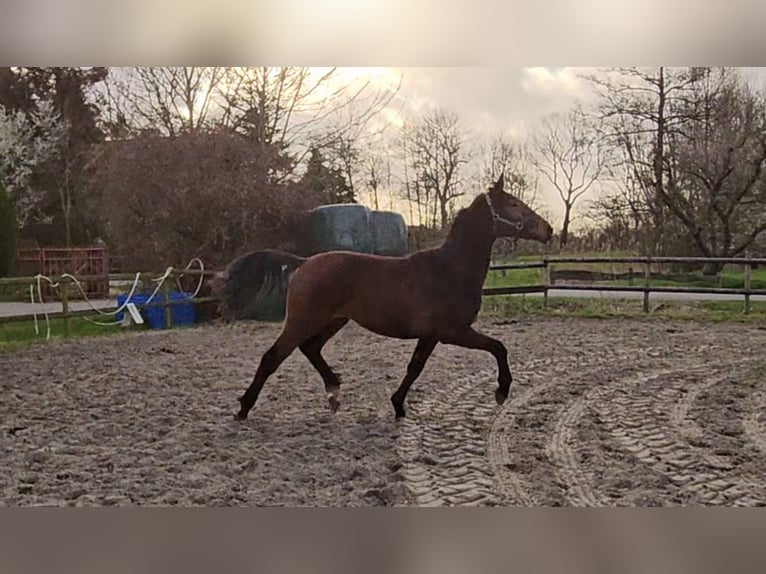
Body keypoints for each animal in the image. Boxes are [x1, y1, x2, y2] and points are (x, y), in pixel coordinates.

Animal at [219, 176, 556, 424]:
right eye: (513, 204)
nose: (549, 229)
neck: (450, 269)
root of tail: (304, 263)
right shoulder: (451, 332)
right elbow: (497, 347)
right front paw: (501, 391)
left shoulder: (431, 335)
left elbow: (415, 367)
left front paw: (398, 405)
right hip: (303, 321)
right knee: (272, 357)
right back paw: (244, 408)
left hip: (334, 320)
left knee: (310, 348)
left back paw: (334, 392)